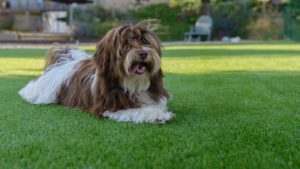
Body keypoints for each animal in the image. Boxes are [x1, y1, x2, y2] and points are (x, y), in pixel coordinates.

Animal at [18, 20, 175, 123]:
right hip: (44, 92)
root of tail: (65, 61)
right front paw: (158, 115)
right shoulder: (108, 106)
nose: (143, 53)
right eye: (125, 45)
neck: (132, 83)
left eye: (145, 42)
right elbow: (135, 110)